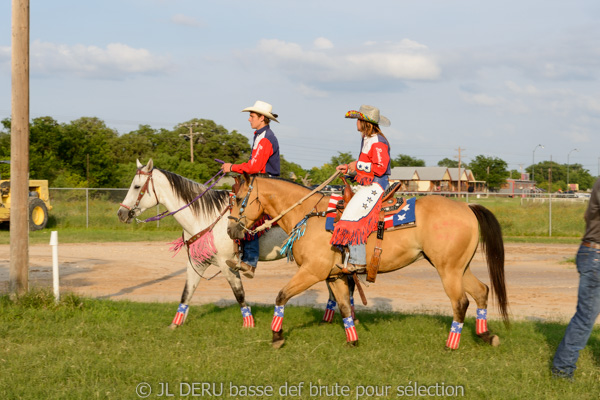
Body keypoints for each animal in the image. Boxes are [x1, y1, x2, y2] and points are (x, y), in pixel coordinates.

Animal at [116, 159, 290, 328]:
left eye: (137, 186)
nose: (121, 213)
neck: (206, 217)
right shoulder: (197, 262)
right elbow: (187, 293)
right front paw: (175, 324)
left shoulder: (227, 264)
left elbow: (239, 293)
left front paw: (248, 324)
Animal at [227, 173, 508, 348]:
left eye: (239, 199)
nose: (231, 231)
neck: (311, 215)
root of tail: (467, 207)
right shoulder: (335, 275)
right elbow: (343, 307)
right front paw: (352, 339)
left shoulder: (312, 272)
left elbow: (281, 296)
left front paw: (277, 336)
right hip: (459, 267)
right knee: (481, 292)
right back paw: (486, 335)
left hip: (448, 270)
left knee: (460, 302)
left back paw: (452, 343)